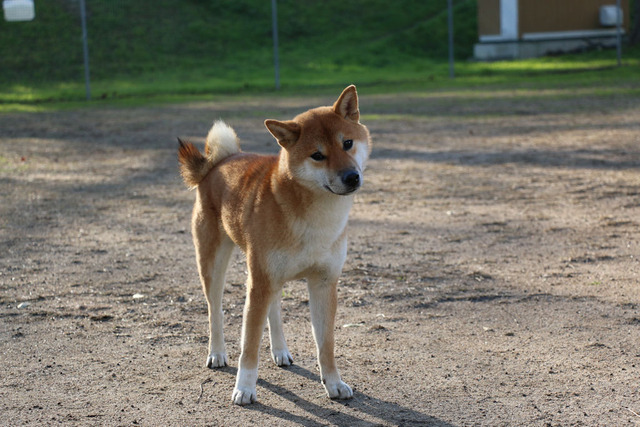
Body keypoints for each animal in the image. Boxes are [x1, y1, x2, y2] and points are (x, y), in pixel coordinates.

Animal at [178, 85, 372, 406]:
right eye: (317, 155)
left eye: (347, 143)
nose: (352, 177)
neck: (315, 217)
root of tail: (218, 163)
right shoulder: (258, 284)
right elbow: (249, 345)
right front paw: (244, 388)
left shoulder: (324, 283)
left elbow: (326, 344)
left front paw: (333, 383)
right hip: (216, 265)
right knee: (215, 311)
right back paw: (217, 353)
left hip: (269, 275)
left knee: (275, 310)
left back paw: (280, 351)